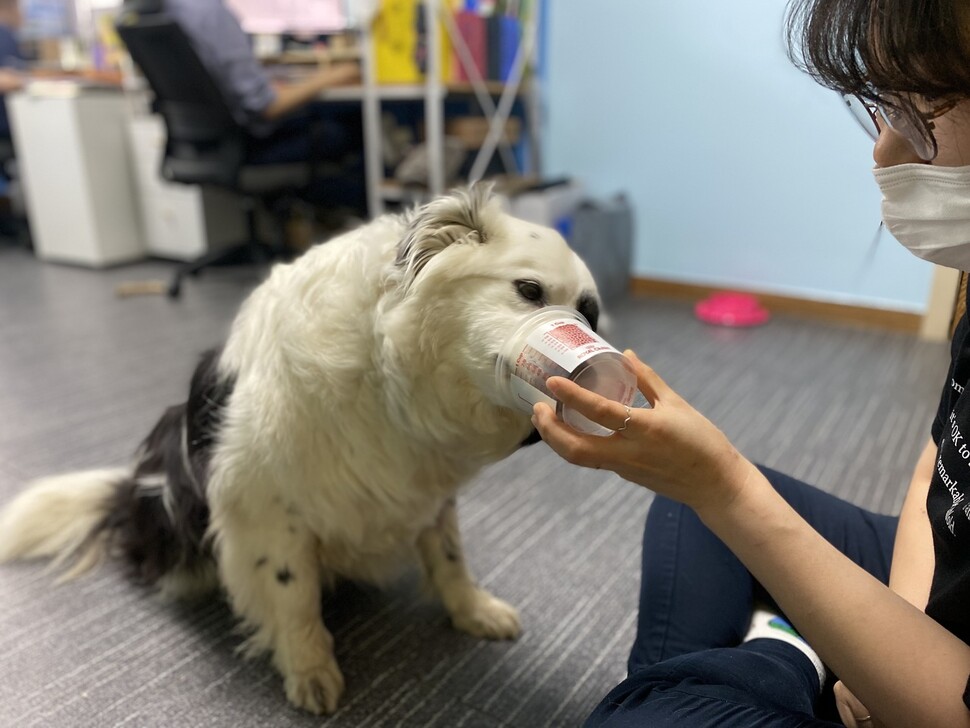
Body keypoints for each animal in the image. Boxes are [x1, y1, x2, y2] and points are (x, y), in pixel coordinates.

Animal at [0, 185, 600, 712]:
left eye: (588, 314)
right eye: (529, 291)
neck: (386, 379)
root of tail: (127, 490)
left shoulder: (430, 491)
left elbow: (450, 558)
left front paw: (473, 611)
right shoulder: (268, 511)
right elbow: (294, 597)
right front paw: (310, 670)